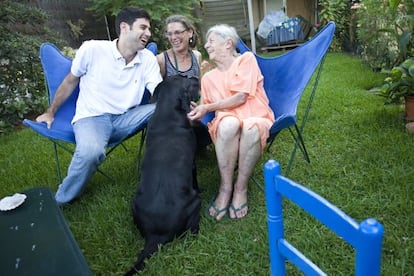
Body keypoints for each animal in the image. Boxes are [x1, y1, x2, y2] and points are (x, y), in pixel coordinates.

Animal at [126, 74, 202, 274]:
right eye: (187, 81)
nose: (196, 77)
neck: (167, 112)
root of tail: (155, 237)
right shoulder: (192, 164)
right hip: (195, 204)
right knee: (192, 232)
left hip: (134, 204)